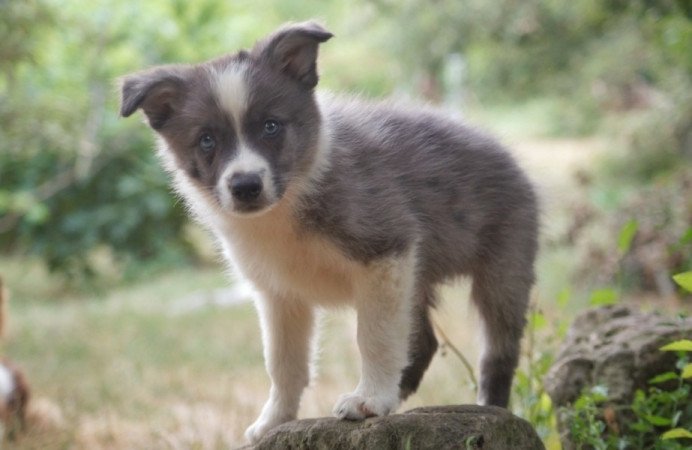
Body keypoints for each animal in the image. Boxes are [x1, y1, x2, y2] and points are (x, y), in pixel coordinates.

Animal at [120, 22, 540, 442]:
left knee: (498, 351)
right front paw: (275, 420)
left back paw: (485, 404)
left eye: (271, 126)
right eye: (207, 139)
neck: (288, 203)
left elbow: (375, 336)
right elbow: (283, 362)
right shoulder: (279, 292)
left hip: (505, 264)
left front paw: (368, 399)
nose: (245, 186)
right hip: (417, 280)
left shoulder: (385, 251)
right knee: (422, 342)